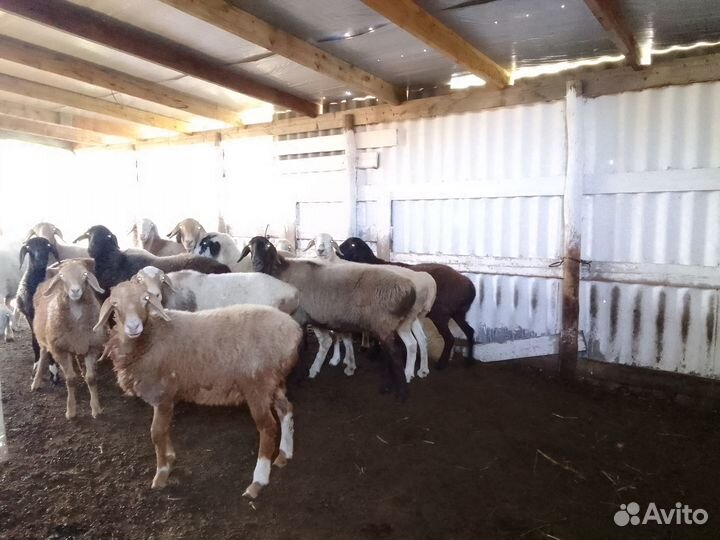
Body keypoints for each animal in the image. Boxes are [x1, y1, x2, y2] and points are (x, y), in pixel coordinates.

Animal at [31, 259, 106, 419]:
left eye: (85, 274)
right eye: (62, 276)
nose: (75, 291)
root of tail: (47, 280)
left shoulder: (92, 346)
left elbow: (91, 378)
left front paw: (96, 408)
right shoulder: (60, 350)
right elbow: (70, 380)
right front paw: (71, 410)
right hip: (45, 340)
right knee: (43, 355)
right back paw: (36, 381)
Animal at [94, 280, 302, 497]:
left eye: (145, 299)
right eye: (115, 304)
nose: (133, 326)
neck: (150, 336)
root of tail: (293, 329)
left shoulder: (162, 395)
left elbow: (157, 433)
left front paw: (161, 474)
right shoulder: (167, 398)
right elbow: (165, 429)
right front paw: (170, 458)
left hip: (257, 385)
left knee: (268, 427)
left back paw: (258, 481)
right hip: (273, 381)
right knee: (286, 409)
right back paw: (284, 454)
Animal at [239, 236, 417, 399]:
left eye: (268, 246)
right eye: (250, 248)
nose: (256, 264)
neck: (281, 272)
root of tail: (410, 290)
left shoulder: (297, 317)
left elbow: (297, 349)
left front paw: (296, 378)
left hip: (383, 323)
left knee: (395, 356)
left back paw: (402, 393)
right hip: (384, 326)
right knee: (389, 356)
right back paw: (387, 386)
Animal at [339, 237, 477, 369]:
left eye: (350, 245)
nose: (337, 252)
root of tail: (469, 285)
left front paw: (375, 353)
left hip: (440, 314)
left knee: (450, 338)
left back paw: (441, 364)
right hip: (458, 313)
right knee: (470, 331)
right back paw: (469, 361)